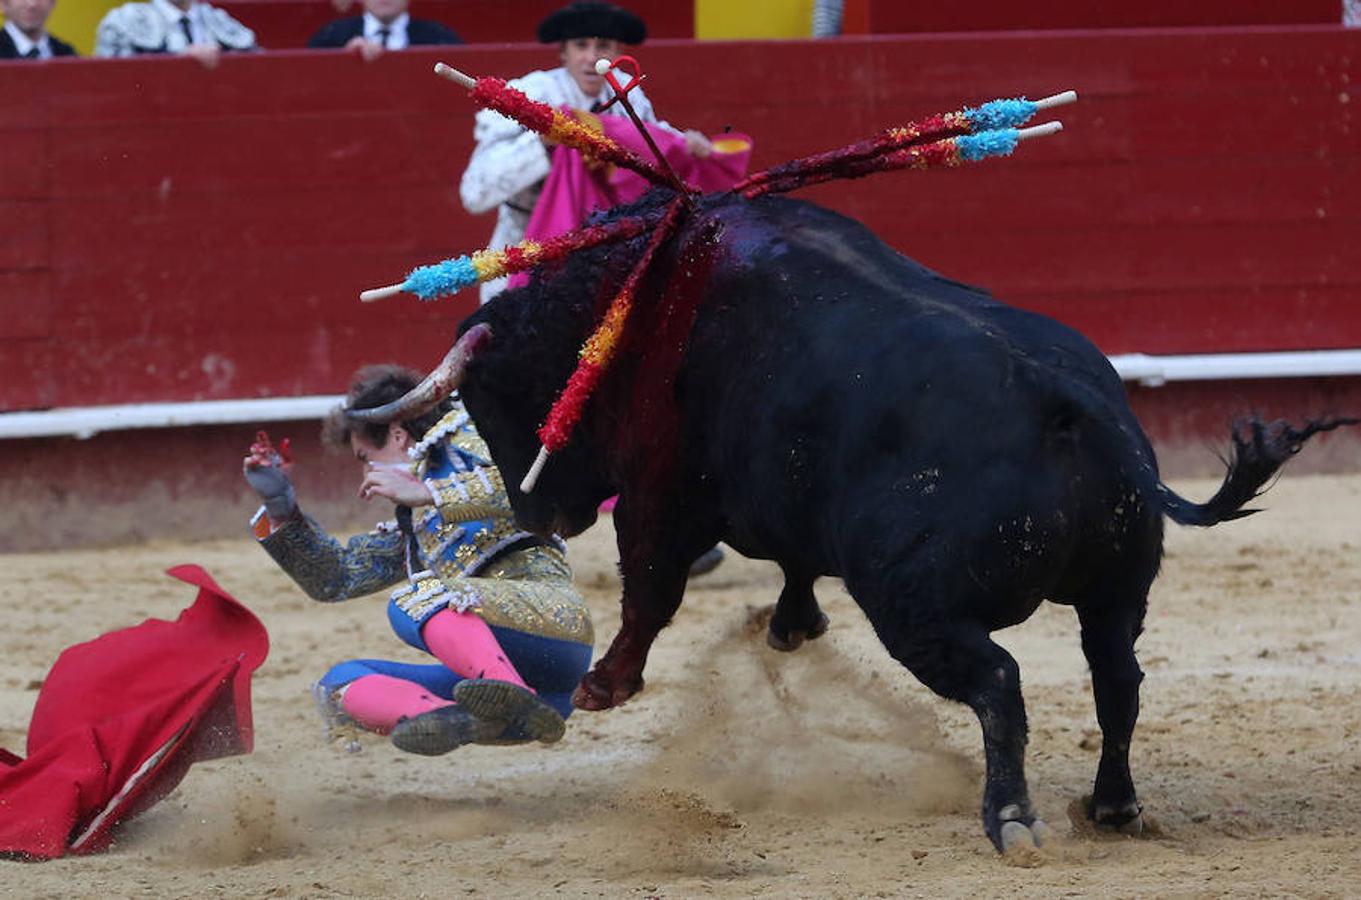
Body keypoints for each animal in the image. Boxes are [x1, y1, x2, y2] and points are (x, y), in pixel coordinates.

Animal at [351, 187, 1350, 849]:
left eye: (493, 396)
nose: (534, 510)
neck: (632, 304)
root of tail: (1071, 406)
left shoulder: (659, 492)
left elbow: (650, 591)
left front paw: (605, 684)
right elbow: (791, 560)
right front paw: (791, 625)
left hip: (916, 605)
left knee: (1000, 683)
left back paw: (1011, 819)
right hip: (1116, 591)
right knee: (1118, 684)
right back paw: (1109, 808)